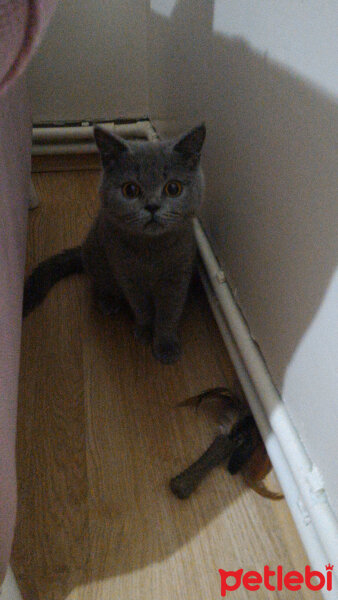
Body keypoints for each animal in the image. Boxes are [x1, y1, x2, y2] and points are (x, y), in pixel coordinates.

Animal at [24, 124, 206, 364]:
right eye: (131, 190)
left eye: (173, 188)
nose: (152, 206)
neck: (151, 251)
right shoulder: (126, 274)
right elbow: (141, 306)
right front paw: (145, 330)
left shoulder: (177, 275)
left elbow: (169, 311)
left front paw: (166, 344)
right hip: (97, 255)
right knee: (99, 283)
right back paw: (109, 302)